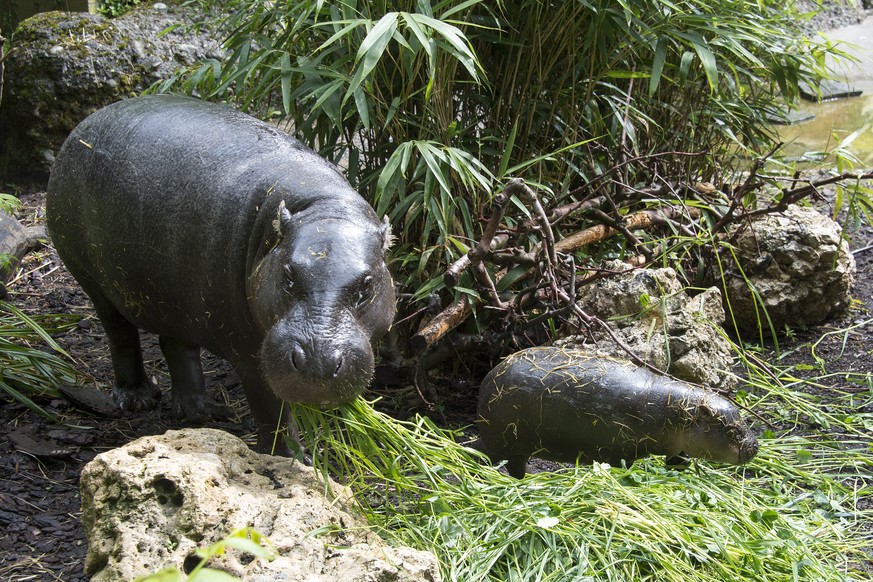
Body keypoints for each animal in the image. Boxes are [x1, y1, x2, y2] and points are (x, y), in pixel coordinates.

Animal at [47, 94, 396, 452]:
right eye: (287, 275)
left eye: (367, 286)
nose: (317, 362)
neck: (323, 208)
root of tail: (87, 122)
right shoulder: (249, 354)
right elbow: (273, 415)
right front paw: (292, 458)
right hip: (94, 282)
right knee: (120, 334)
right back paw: (138, 399)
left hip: (172, 292)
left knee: (175, 345)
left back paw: (205, 413)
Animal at [476, 346, 756, 480]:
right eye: (731, 429)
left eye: (741, 419)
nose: (755, 445)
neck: (676, 409)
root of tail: (486, 382)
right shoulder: (621, 450)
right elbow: (624, 466)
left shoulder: (678, 448)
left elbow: (677, 461)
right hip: (504, 441)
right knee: (497, 460)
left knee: (516, 466)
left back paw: (538, 477)